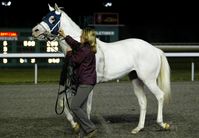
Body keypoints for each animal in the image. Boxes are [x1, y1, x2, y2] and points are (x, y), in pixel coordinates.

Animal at [32, 3, 171, 134]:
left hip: (149, 80)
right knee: (143, 102)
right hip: (136, 79)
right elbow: (63, 102)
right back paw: (138, 128)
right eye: (44, 17)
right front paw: (75, 125)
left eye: (52, 18)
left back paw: (162, 124)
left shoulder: (88, 85)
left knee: (160, 96)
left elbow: (86, 107)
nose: (35, 31)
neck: (81, 46)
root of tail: (155, 49)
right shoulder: (74, 85)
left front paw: (85, 128)